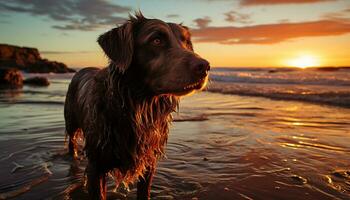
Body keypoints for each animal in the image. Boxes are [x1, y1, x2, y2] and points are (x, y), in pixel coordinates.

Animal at [64, 12, 209, 200]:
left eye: (186, 42)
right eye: (156, 40)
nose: (205, 67)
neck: (137, 105)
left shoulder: (149, 159)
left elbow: (144, 190)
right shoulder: (96, 165)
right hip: (71, 121)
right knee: (71, 141)